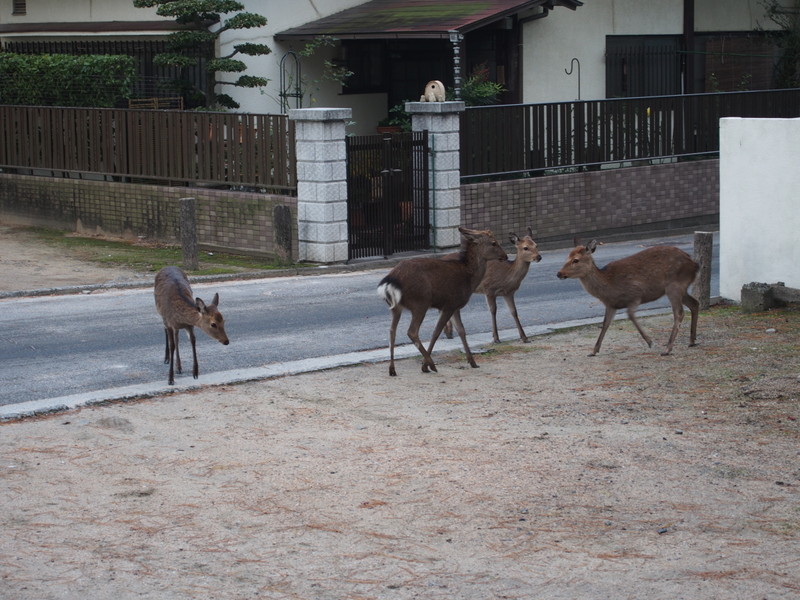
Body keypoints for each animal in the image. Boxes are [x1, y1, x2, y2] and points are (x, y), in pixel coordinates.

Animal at [376, 229, 506, 376]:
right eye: (494, 242)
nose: (505, 256)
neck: (469, 279)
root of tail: (390, 281)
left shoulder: (455, 306)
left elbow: (461, 330)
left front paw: (473, 362)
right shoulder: (449, 304)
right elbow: (436, 332)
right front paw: (424, 366)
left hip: (396, 307)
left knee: (392, 331)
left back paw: (392, 369)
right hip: (420, 302)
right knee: (412, 331)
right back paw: (432, 365)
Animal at [560, 240, 696, 356]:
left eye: (575, 260)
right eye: (567, 257)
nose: (559, 273)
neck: (608, 285)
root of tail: (694, 263)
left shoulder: (635, 295)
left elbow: (630, 316)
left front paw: (650, 341)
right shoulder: (611, 305)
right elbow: (605, 324)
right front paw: (593, 351)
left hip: (674, 286)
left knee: (679, 312)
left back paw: (667, 349)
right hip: (681, 288)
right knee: (695, 303)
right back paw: (692, 341)